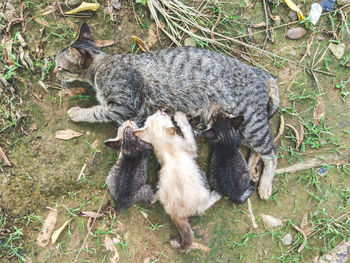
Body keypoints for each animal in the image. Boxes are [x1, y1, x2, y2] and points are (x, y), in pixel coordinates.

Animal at [56, 23, 282, 200]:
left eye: (60, 67)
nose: (53, 70)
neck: (102, 66)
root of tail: (261, 73)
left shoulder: (125, 105)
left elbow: (98, 111)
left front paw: (77, 112)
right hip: (237, 124)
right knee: (258, 149)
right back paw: (252, 168)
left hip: (251, 122)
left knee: (271, 152)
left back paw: (265, 185)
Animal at [133, 110, 220, 253]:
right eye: (163, 116)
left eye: (153, 116)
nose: (160, 110)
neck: (166, 149)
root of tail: (176, 214)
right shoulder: (190, 147)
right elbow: (187, 129)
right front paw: (180, 117)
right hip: (202, 191)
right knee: (203, 207)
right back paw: (217, 194)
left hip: (160, 189)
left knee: (154, 198)